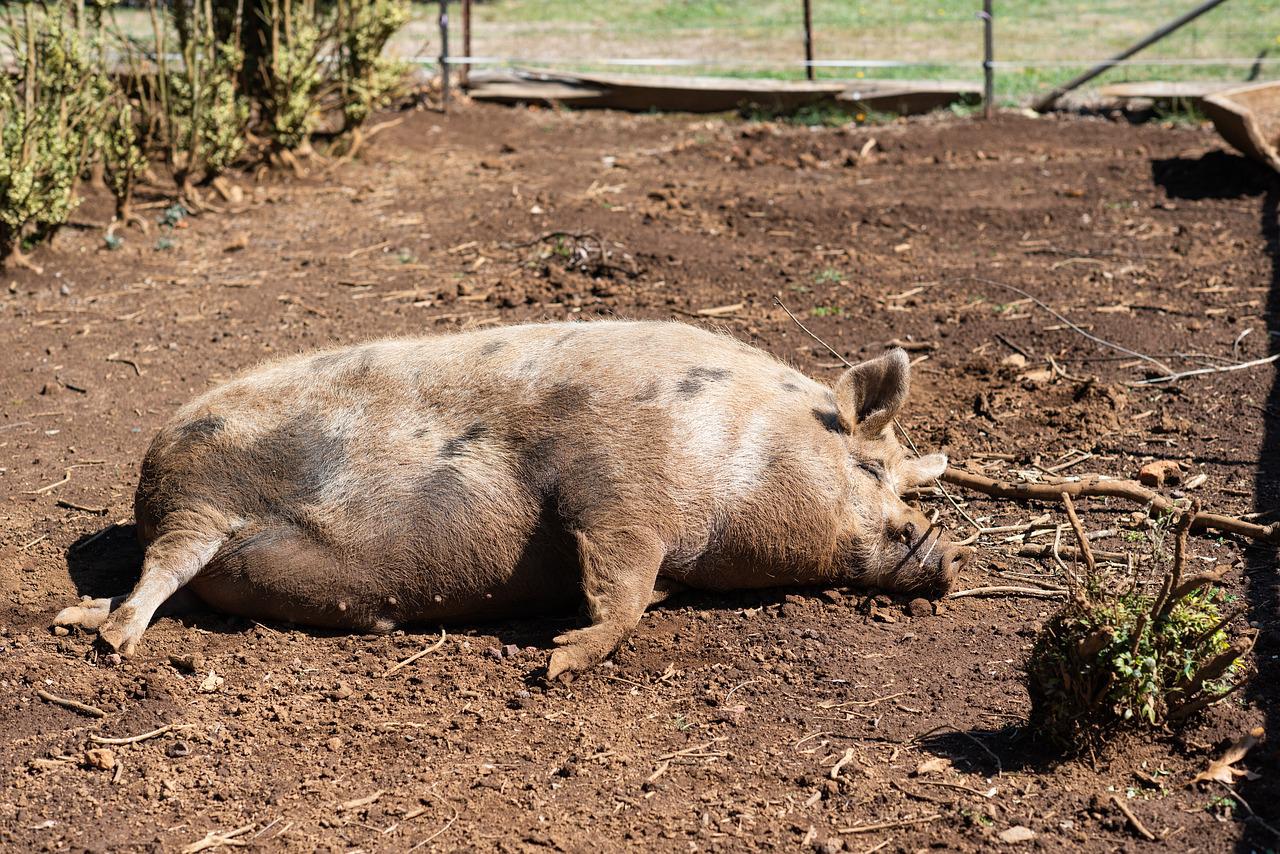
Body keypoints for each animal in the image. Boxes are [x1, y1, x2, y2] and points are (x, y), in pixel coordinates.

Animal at [55, 320, 962, 681]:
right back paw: (109, 642)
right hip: (200, 499)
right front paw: (557, 661)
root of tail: (150, 468)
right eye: (872, 468)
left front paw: (559, 648)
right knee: (161, 572)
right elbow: (619, 588)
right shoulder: (616, 488)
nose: (944, 549)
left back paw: (85, 618)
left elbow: (638, 592)